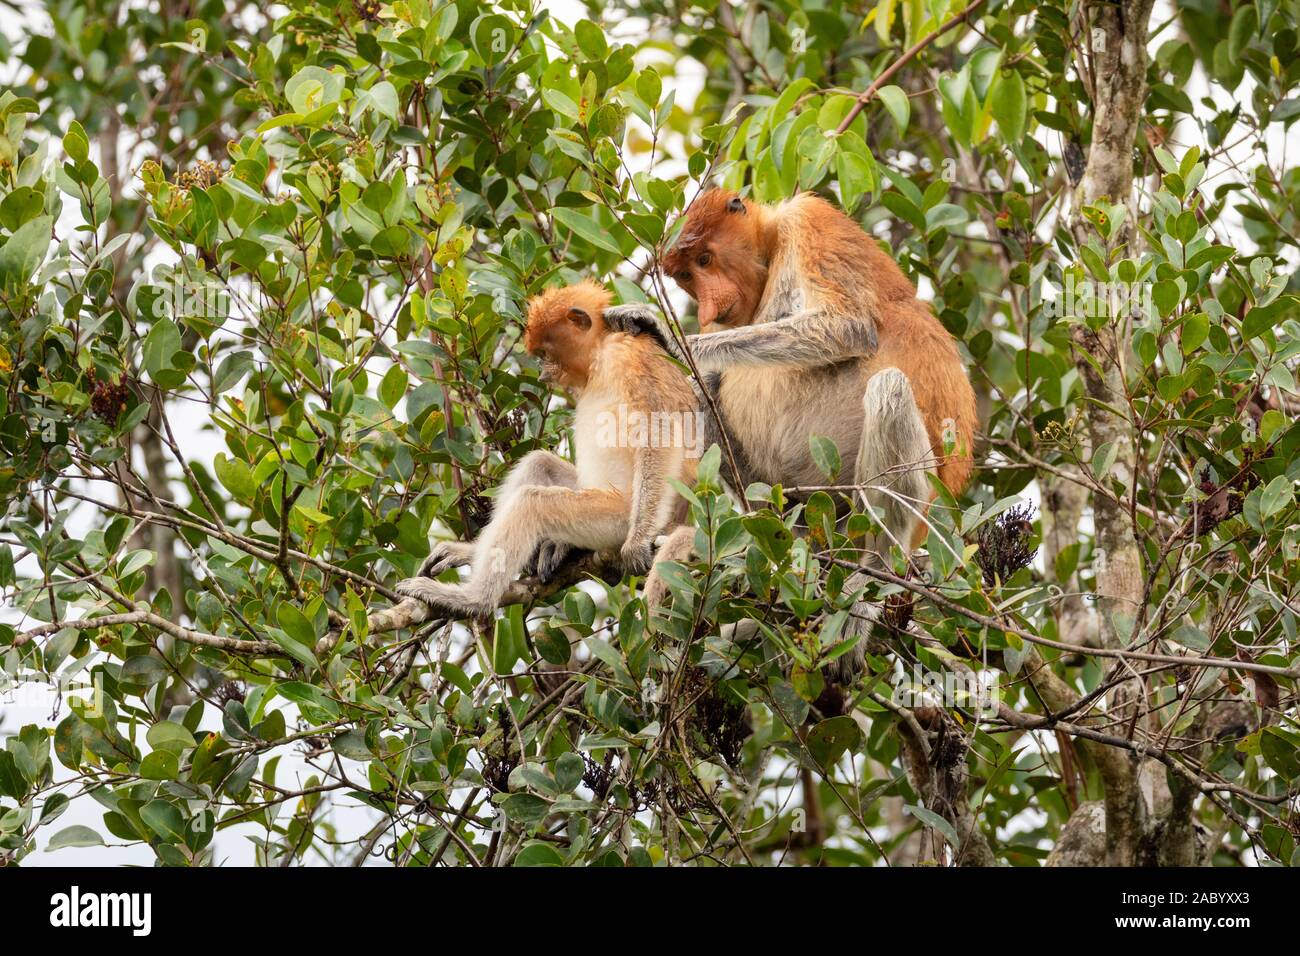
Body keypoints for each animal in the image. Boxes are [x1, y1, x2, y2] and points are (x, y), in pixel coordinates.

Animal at [397, 280, 702, 616]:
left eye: (545, 352)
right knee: (538, 463)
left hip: (615, 516)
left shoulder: (630, 355)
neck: (599, 354)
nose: (544, 371)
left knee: (532, 503)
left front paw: (638, 542)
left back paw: (472, 600)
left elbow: (659, 433)